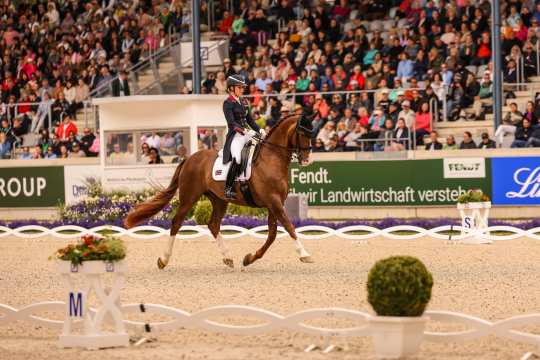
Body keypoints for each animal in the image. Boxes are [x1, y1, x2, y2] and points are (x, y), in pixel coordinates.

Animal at [124, 114, 314, 268]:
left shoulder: (274, 203)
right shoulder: (273, 202)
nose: (306, 160)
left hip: (219, 199)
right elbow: (289, 226)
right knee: (176, 222)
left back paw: (228, 258)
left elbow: (273, 234)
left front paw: (249, 258)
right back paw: (163, 260)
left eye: (312, 133)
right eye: (302, 133)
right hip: (189, 197)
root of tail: (189, 159)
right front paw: (305, 254)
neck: (271, 158)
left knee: (213, 224)